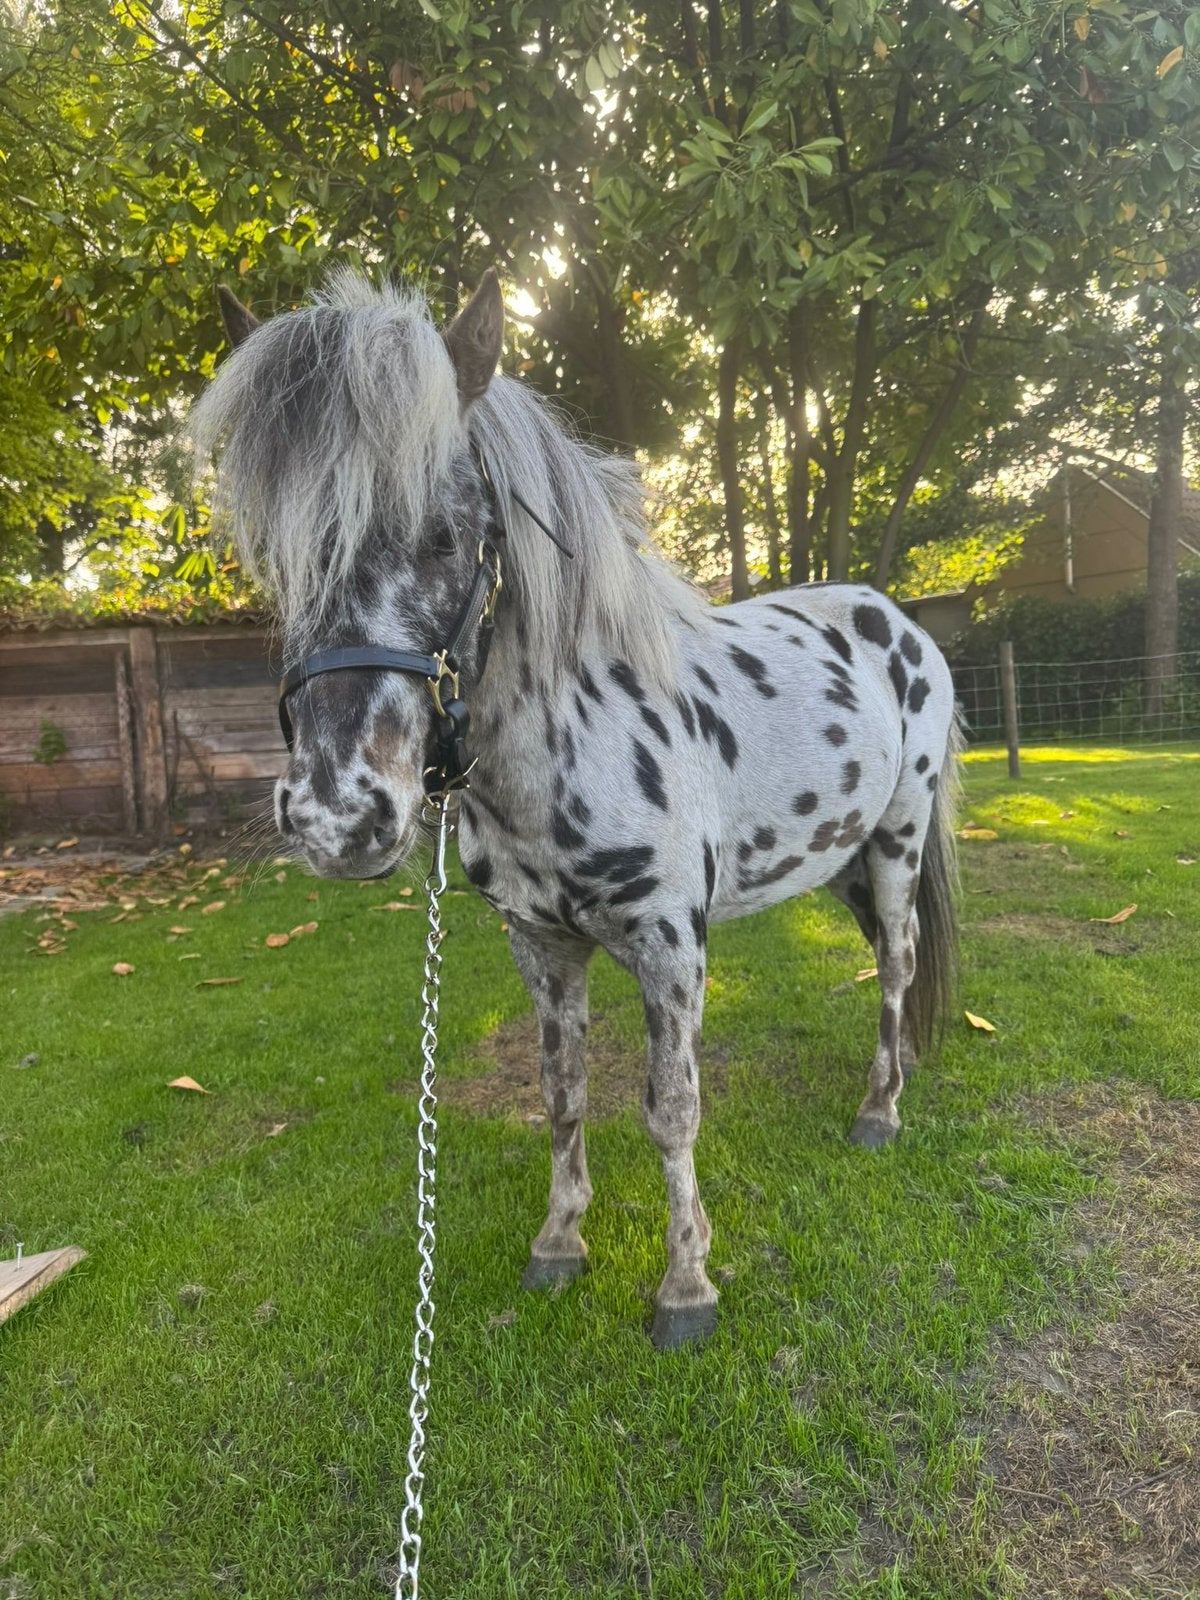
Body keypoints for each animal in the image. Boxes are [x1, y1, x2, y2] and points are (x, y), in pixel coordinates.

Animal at [191, 269, 962, 1349]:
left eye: (445, 534)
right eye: (274, 553)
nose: (337, 817)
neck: (568, 741)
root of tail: (895, 620)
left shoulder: (671, 948)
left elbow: (672, 1109)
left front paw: (686, 1288)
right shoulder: (542, 945)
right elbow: (563, 1093)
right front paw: (560, 1244)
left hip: (895, 845)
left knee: (894, 964)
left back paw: (879, 1111)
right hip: (841, 860)